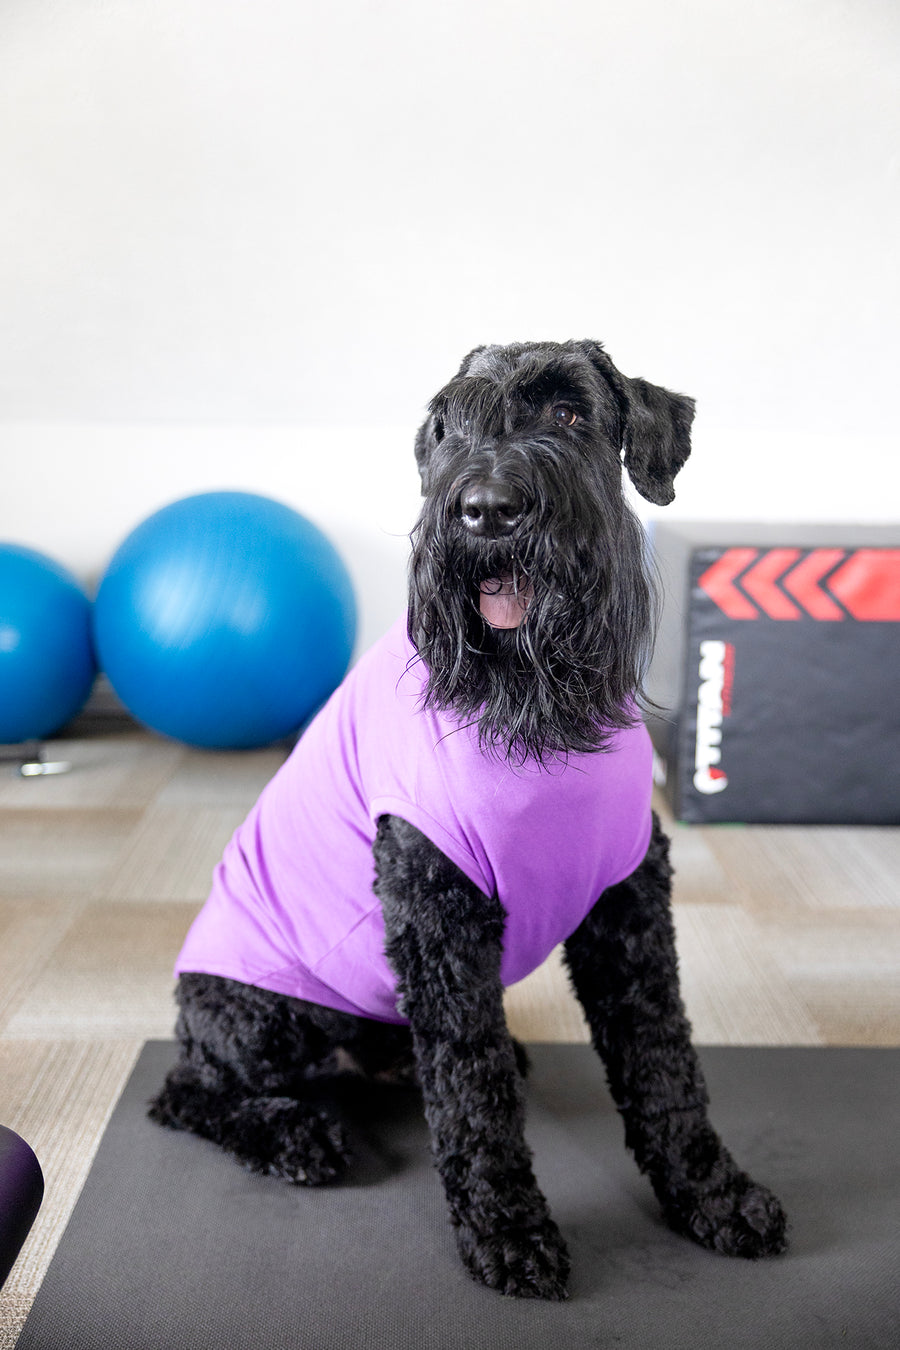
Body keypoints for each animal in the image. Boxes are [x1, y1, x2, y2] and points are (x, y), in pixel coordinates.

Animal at [149, 337, 788, 1296]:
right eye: (449, 427)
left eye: (567, 411)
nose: (486, 511)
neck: (537, 711)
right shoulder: (439, 917)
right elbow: (472, 1096)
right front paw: (509, 1230)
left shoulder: (630, 911)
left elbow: (664, 1064)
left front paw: (714, 1195)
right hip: (259, 1017)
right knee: (185, 1092)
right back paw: (296, 1133)